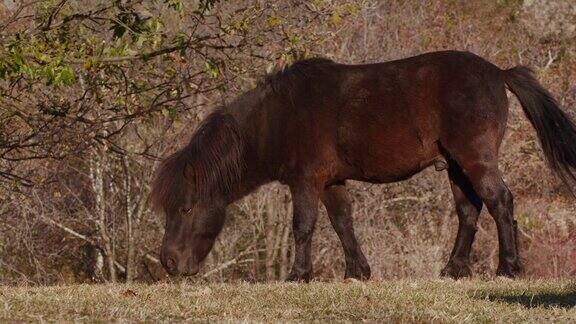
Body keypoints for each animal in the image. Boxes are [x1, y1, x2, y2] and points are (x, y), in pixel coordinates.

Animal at [150, 50, 576, 280]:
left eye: (185, 208)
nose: (168, 262)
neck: (280, 115)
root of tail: (497, 72)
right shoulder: (331, 182)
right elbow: (343, 223)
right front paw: (357, 271)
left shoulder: (306, 181)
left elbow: (303, 227)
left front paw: (298, 275)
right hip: (456, 166)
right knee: (468, 212)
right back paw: (453, 269)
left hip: (475, 159)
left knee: (500, 202)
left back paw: (508, 267)